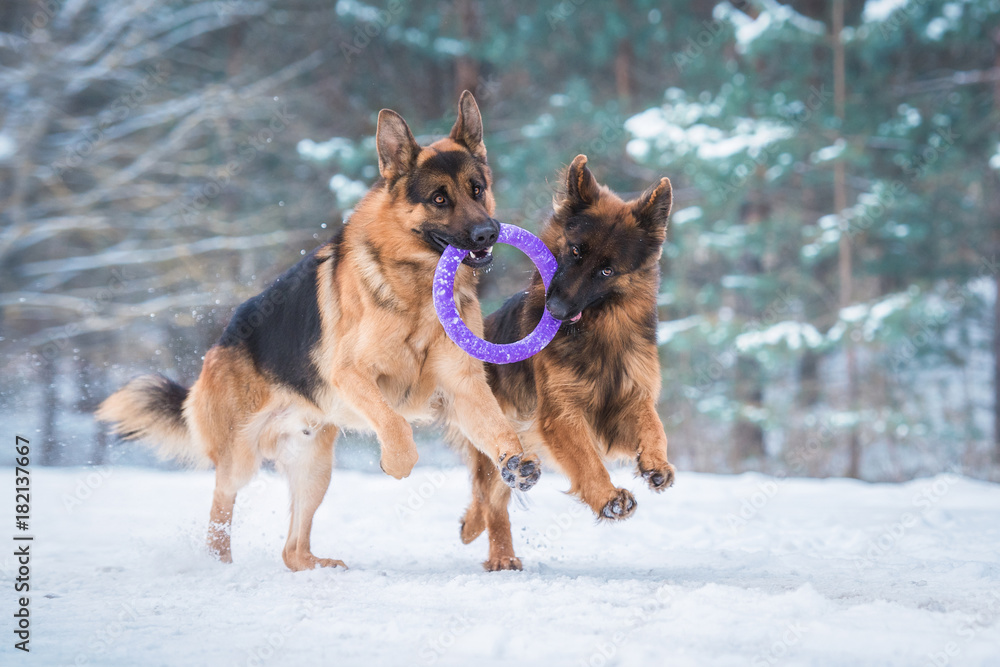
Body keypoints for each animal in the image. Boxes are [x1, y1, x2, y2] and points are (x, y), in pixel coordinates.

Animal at [97, 92, 544, 576]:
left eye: (477, 189)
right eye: (439, 198)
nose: (487, 233)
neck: (416, 290)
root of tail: (218, 347)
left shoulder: (464, 388)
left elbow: (500, 431)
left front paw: (517, 463)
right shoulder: (351, 376)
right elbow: (394, 424)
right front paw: (397, 463)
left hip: (315, 468)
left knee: (292, 551)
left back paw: (318, 564)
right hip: (239, 461)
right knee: (221, 508)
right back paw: (220, 564)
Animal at [458, 155, 676, 568]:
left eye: (607, 270)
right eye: (575, 251)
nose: (556, 310)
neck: (598, 335)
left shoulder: (625, 401)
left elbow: (653, 424)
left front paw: (656, 463)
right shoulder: (562, 415)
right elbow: (588, 461)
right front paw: (608, 498)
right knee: (491, 496)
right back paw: (497, 550)